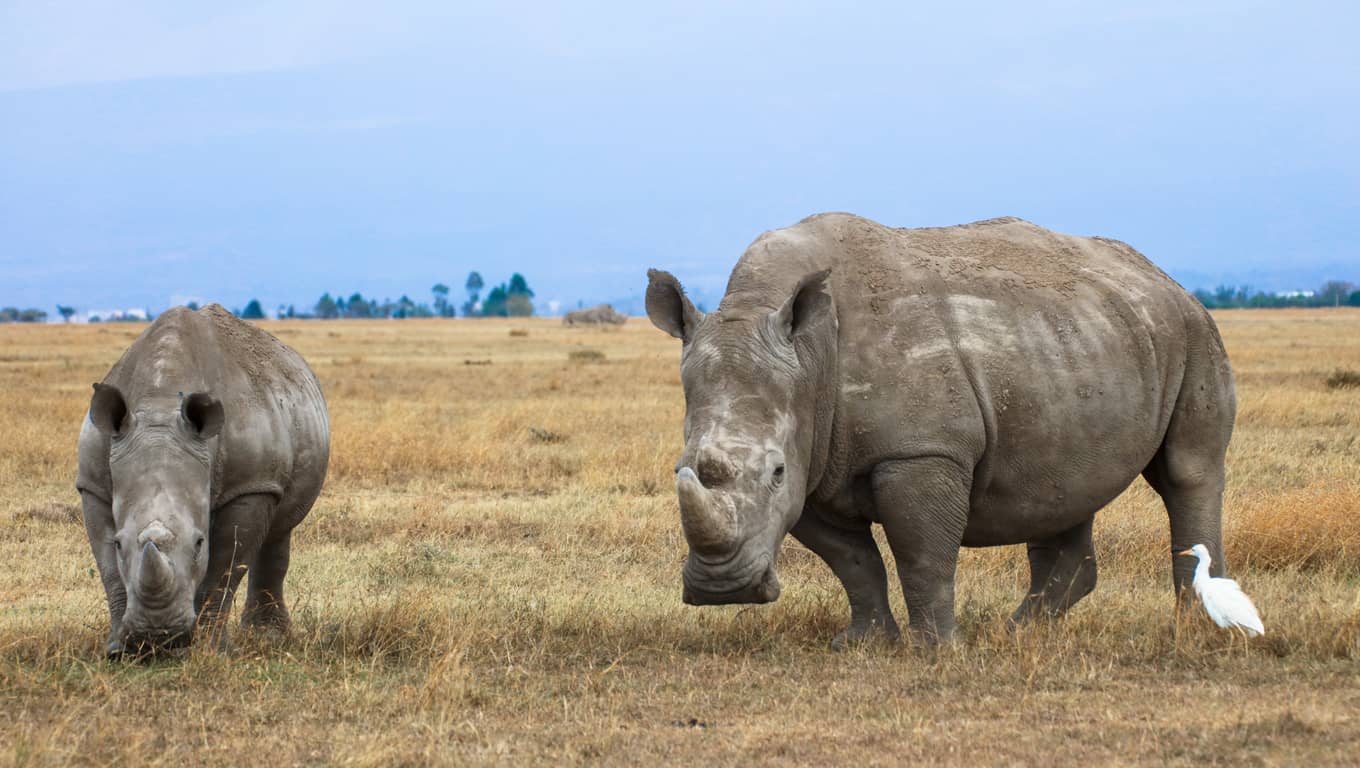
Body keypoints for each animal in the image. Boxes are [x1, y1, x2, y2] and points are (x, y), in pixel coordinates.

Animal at [77, 303, 329, 655]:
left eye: (199, 543)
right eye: (119, 544)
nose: (157, 637)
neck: (160, 404)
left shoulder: (248, 485)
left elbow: (224, 568)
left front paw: (207, 650)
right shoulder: (93, 484)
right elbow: (108, 567)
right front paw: (117, 649)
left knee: (279, 530)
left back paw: (267, 638)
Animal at [647, 212, 1234, 644]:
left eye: (774, 472)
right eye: (681, 469)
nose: (723, 589)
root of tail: (1161, 276)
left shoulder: (920, 452)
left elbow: (922, 554)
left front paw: (937, 649)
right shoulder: (812, 458)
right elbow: (853, 561)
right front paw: (864, 643)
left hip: (1195, 331)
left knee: (1189, 472)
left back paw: (1193, 628)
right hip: (1079, 340)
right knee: (1062, 484)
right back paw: (1017, 633)